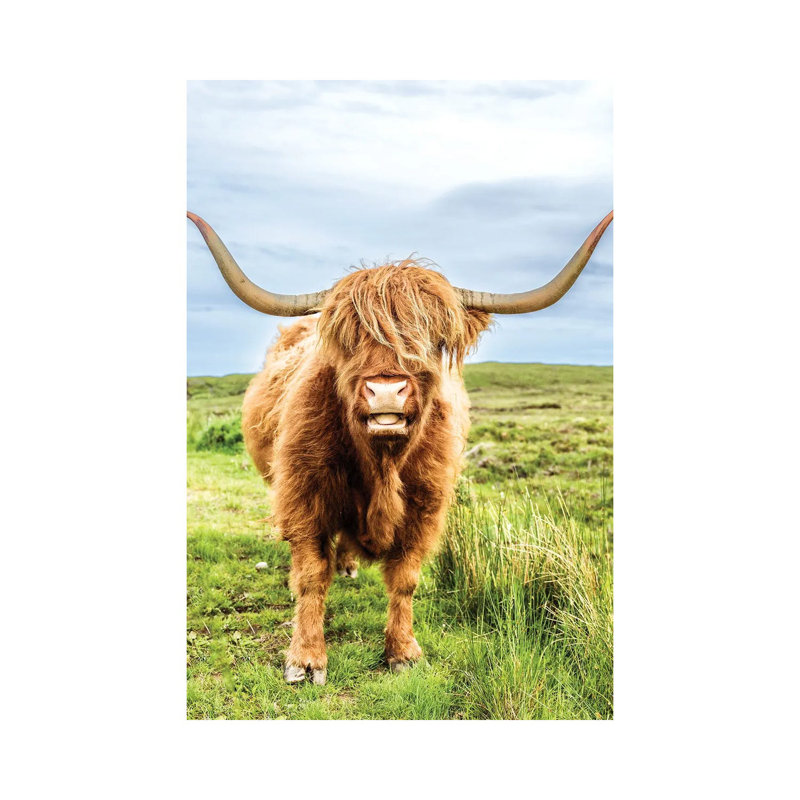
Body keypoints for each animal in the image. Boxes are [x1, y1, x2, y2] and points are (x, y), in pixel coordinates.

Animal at [187, 209, 613, 685]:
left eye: (430, 338)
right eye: (351, 337)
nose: (386, 391)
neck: (382, 463)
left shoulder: (426, 503)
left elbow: (406, 578)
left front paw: (403, 652)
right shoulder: (304, 494)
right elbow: (311, 575)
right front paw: (306, 659)